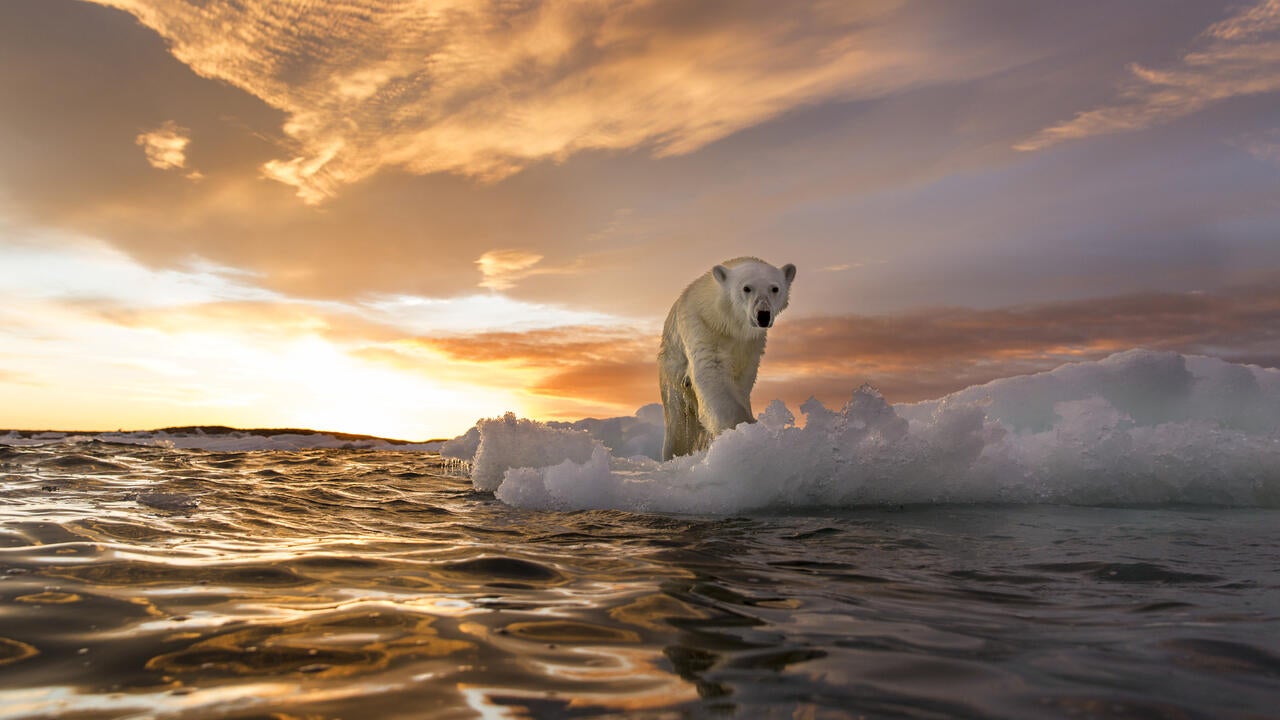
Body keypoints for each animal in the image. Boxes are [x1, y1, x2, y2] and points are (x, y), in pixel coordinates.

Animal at [660, 256, 788, 458]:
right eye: (746, 288)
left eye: (774, 288)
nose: (763, 315)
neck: (728, 323)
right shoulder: (703, 327)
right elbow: (711, 371)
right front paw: (742, 429)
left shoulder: (750, 345)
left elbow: (742, 380)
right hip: (672, 371)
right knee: (678, 421)